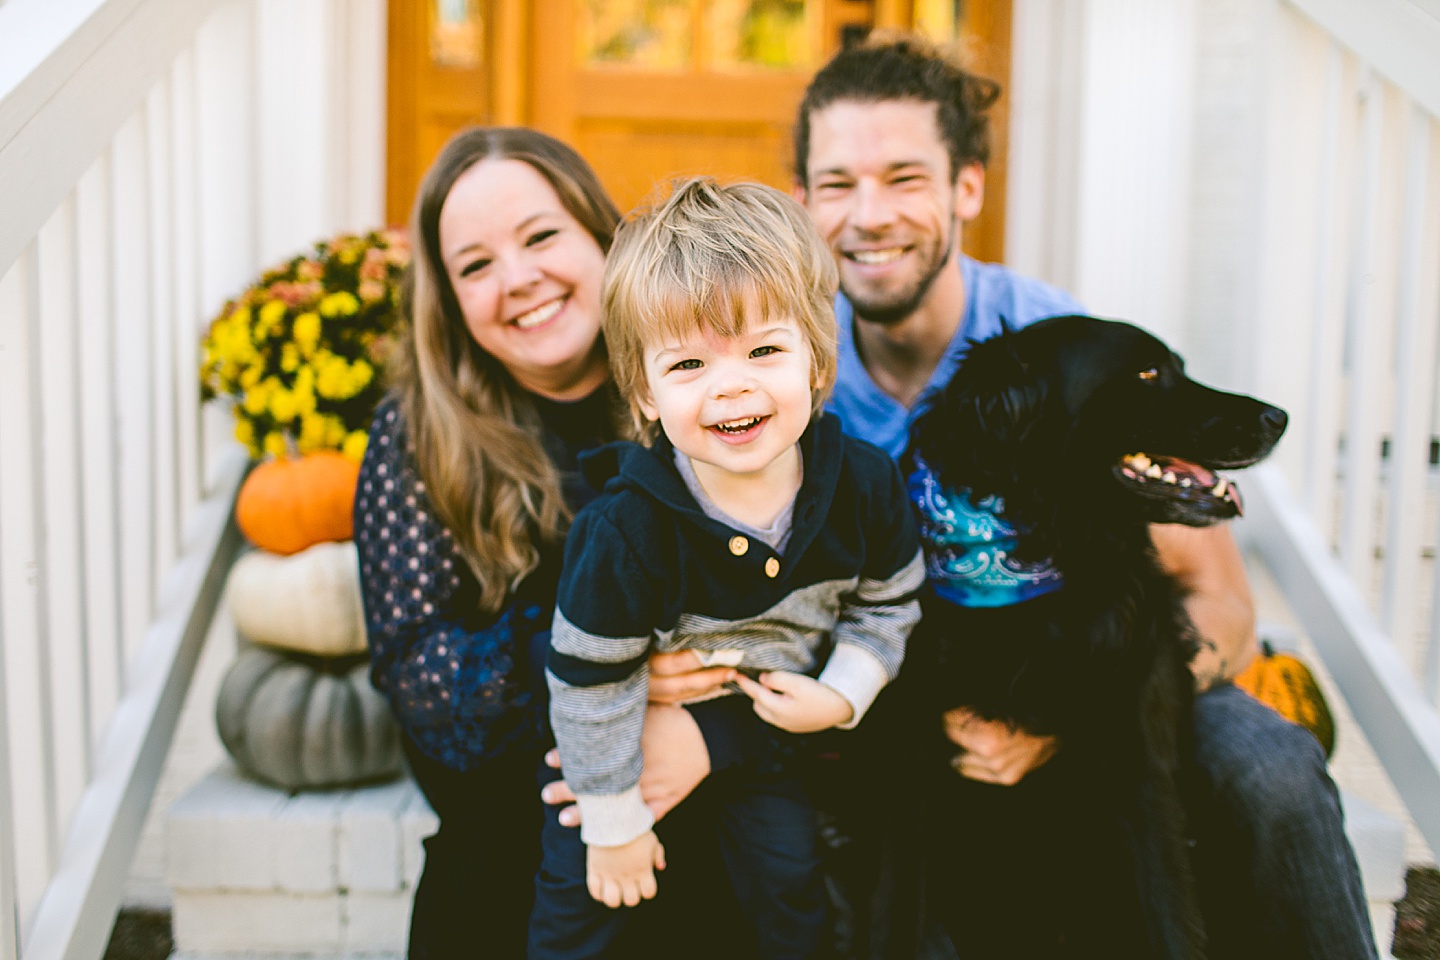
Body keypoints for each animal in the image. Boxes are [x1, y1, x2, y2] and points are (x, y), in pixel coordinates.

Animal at [881, 316, 1290, 960]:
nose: (1279, 417)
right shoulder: (909, 762)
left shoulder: (1141, 766)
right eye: (1148, 372)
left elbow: (1173, 921)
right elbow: (902, 917)